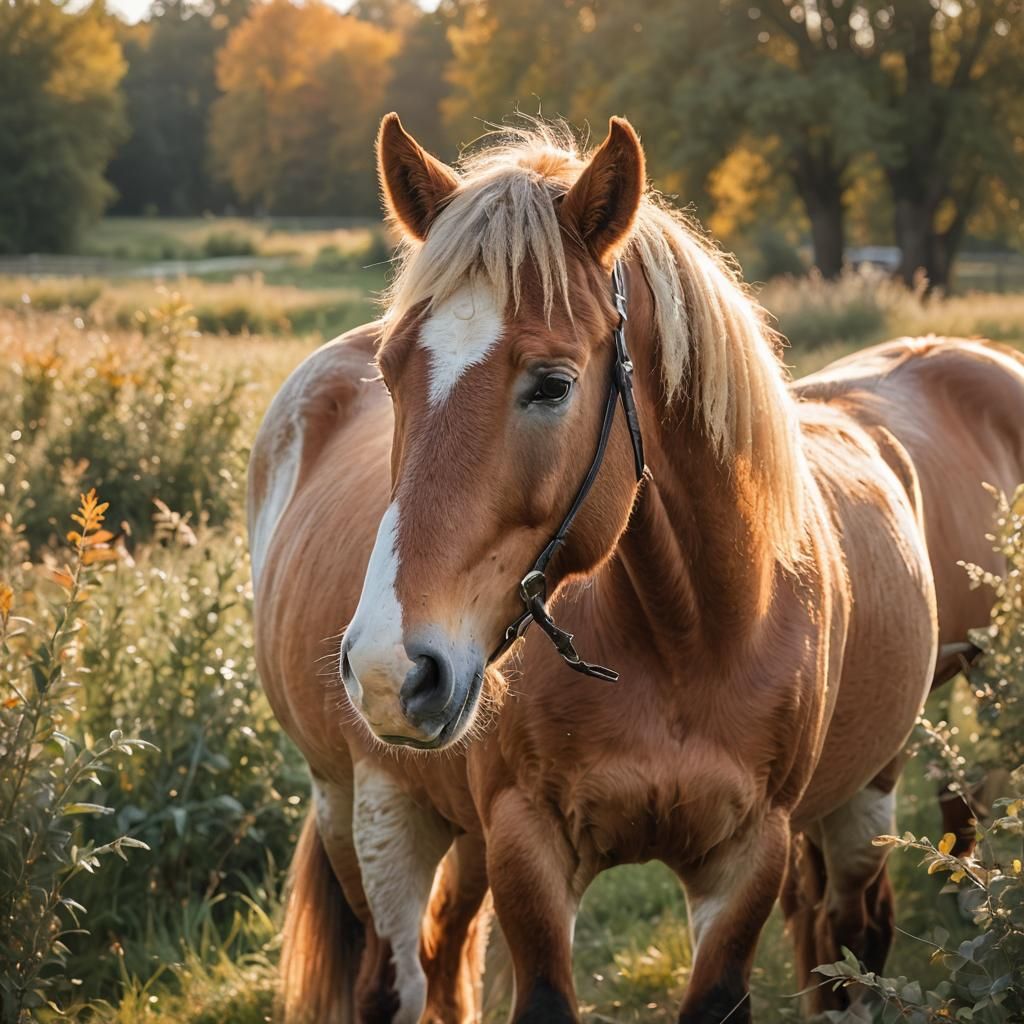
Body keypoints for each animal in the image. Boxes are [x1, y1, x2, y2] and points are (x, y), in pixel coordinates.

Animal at [329, 111, 1024, 1024]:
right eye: (389, 370)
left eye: (553, 385)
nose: (389, 669)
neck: (692, 632)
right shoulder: (525, 847)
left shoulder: (748, 858)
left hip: (894, 766)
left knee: (858, 925)